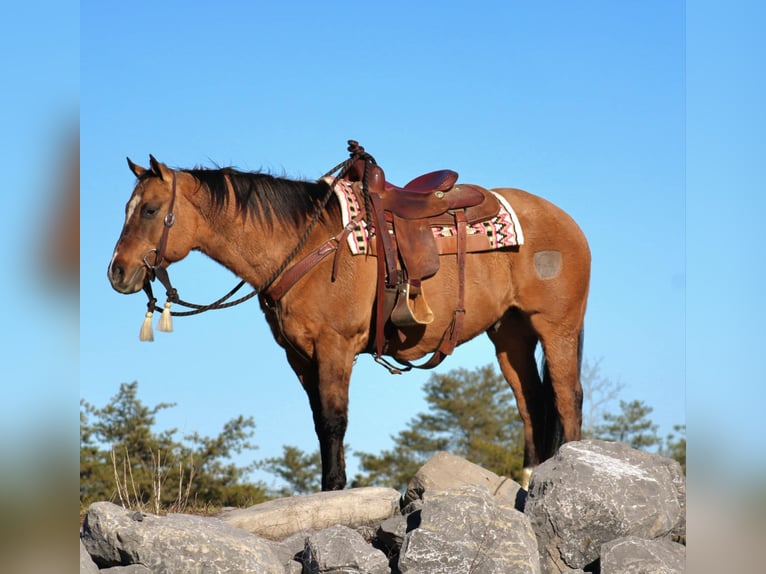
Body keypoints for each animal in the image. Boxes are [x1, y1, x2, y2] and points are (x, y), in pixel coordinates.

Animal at [108, 146, 592, 492]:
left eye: (149, 210)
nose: (117, 272)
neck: (304, 246)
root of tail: (568, 222)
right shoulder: (301, 357)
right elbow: (320, 424)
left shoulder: (335, 347)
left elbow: (334, 421)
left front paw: (336, 489)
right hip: (510, 336)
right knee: (531, 405)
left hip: (557, 328)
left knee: (567, 397)